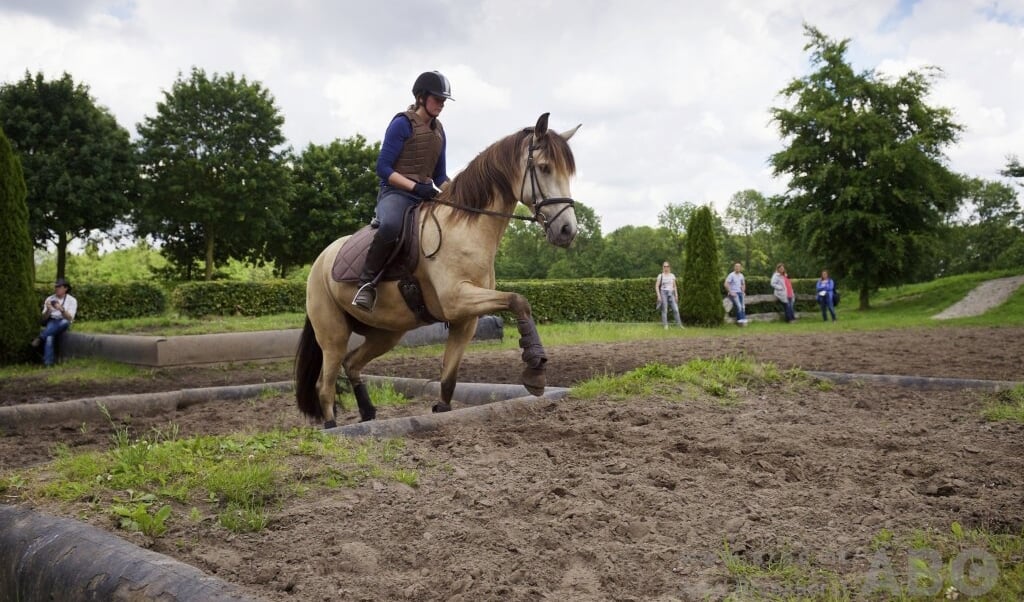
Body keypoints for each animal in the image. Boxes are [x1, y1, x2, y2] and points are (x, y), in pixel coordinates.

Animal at [299, 110, 585, 425]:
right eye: (545, 168)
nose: (567, 230)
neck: (465, 228)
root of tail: (320, 261)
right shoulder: (456, 299)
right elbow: (518, 300)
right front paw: (535, 368)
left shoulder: (465, 319)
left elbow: (448, 379)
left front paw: (442, 409)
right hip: (333, 335)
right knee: (325, 386)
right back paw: (331, 425)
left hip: (386, 332)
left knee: (351, 364)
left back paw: (368, 413)